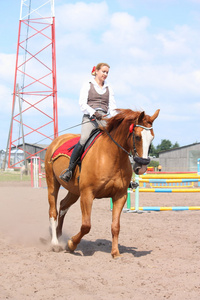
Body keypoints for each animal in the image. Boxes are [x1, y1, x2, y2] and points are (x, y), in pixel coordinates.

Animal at [45, 109, 159, 256]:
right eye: (138, 137)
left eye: (152, 138)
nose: (142, 167)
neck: (111, 156)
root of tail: (56, 141)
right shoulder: (87, 194)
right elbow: (86, 225)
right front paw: (71, 244)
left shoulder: (120, 196)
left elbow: (115, 226)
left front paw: (115, 253)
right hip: (52, 183)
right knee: (53, 211)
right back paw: (55, 243)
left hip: (74, 191)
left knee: (63, 206)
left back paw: (59, 236)